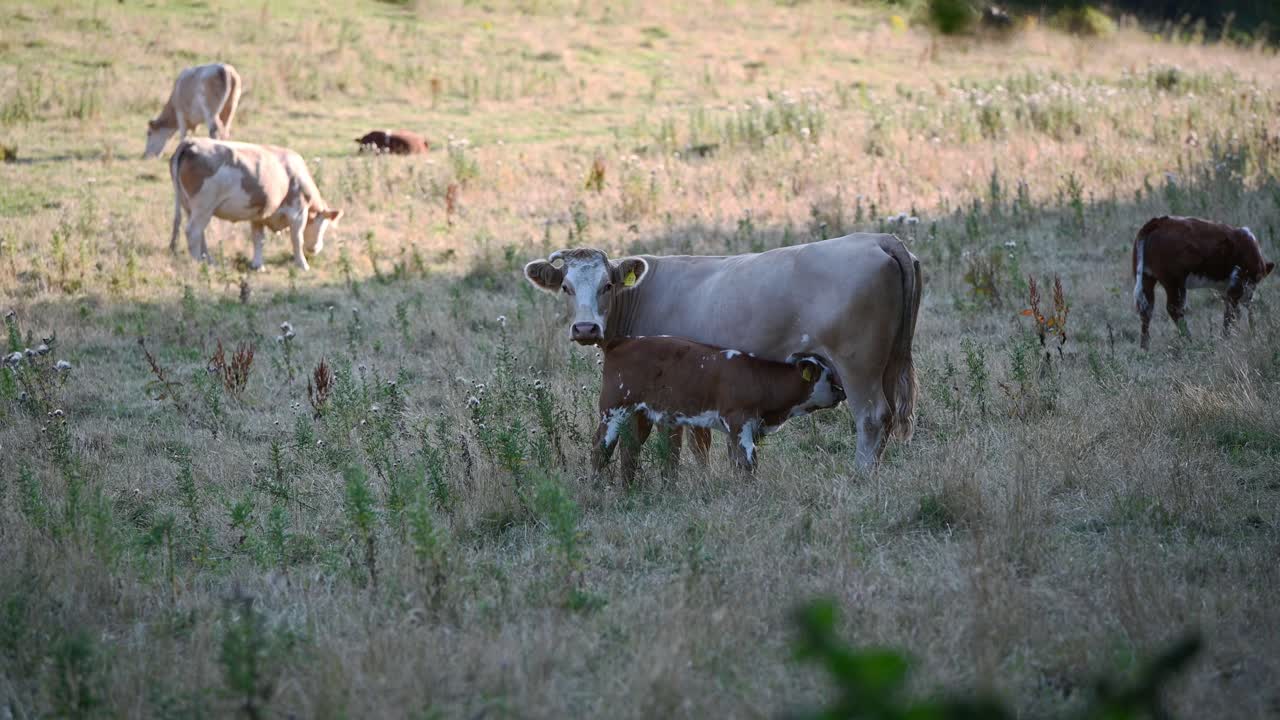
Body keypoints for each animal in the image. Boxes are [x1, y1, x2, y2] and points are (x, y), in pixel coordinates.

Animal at [169, 138, 342, 271]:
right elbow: (297, 239)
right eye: (324, 225)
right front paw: (303, 265)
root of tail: (190, 142)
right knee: (193, 232)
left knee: (200, 233)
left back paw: (209, 261)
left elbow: (258, 239)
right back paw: (199, 264)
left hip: (189, 206)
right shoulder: (298, 212)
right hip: (203, 206)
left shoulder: (259, 215)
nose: (315, 249)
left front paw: (258, 265)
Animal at [592, 336, 844, 481]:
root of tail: (621, 342)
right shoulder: (739, 421)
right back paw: (596, 488)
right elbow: (748, 462)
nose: (843, 392)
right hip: (614, 408)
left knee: (629, 446)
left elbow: (738, 461)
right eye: (829, 376)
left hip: (637, 411)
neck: (759, 378)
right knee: (601, 448)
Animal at [1132, 216, 1274, 349]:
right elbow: (1231, 312)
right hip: (1174, 282)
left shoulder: (1226, 289)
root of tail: (1158, 222)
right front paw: (1227, 338)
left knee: (1146, 308)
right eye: (1256, 280)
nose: (1249, 296)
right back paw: (1189, 341)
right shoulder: (1238, 281)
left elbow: (1234, 310)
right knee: (1174, 309)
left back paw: (1145, 347)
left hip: (1146, 277)